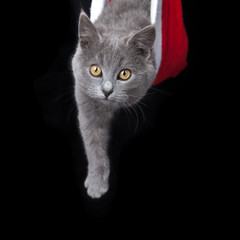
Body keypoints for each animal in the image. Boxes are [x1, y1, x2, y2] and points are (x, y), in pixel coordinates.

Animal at [72, 0, 157, 199]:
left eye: (124, 74)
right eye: (95, 70)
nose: (107, 91)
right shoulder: (86, 104)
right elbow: (94, 146)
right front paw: (97, 184)